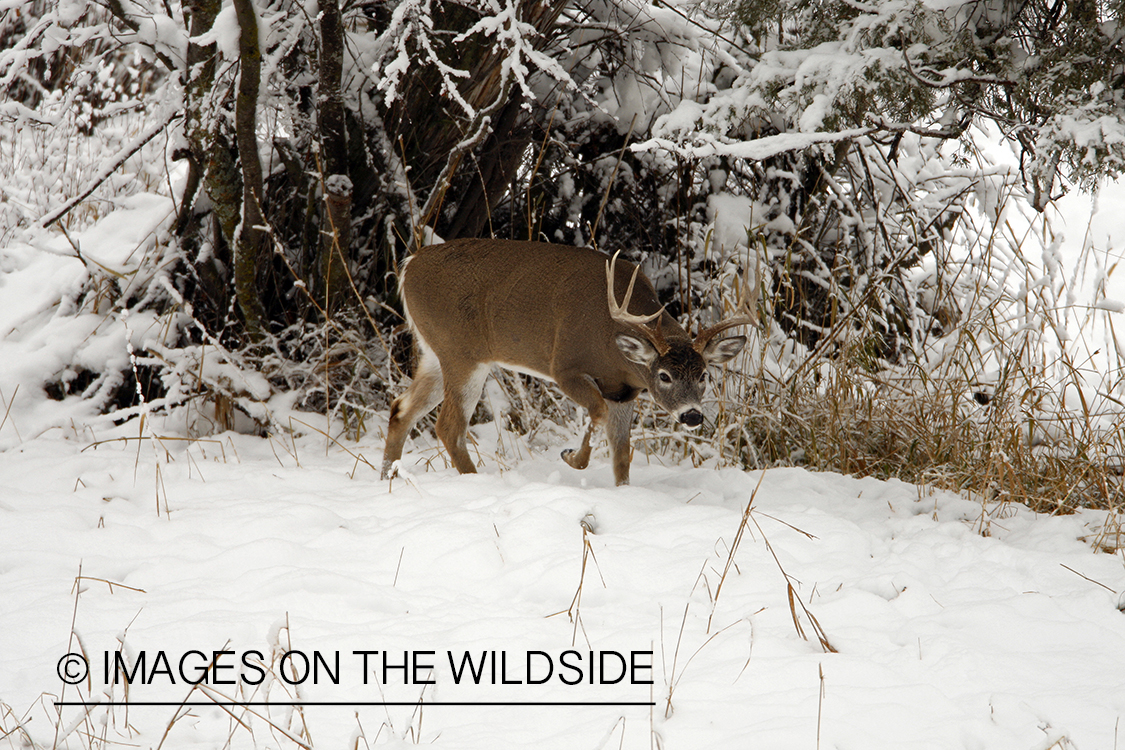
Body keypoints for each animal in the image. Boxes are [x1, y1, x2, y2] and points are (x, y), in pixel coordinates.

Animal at [380, 239, 756, 488]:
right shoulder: (564, 366)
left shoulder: (625, 390)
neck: (610, 339)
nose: (692, 415)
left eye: (704, 375)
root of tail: (409, 264)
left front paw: (622, 491)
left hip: (434, 353)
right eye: (663, 375)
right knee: (448, 426)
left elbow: (621, 452)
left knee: (401, 408)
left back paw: (387, 477)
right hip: (462, 352)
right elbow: (597, 413)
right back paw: (473, 481)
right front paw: (572, 458)